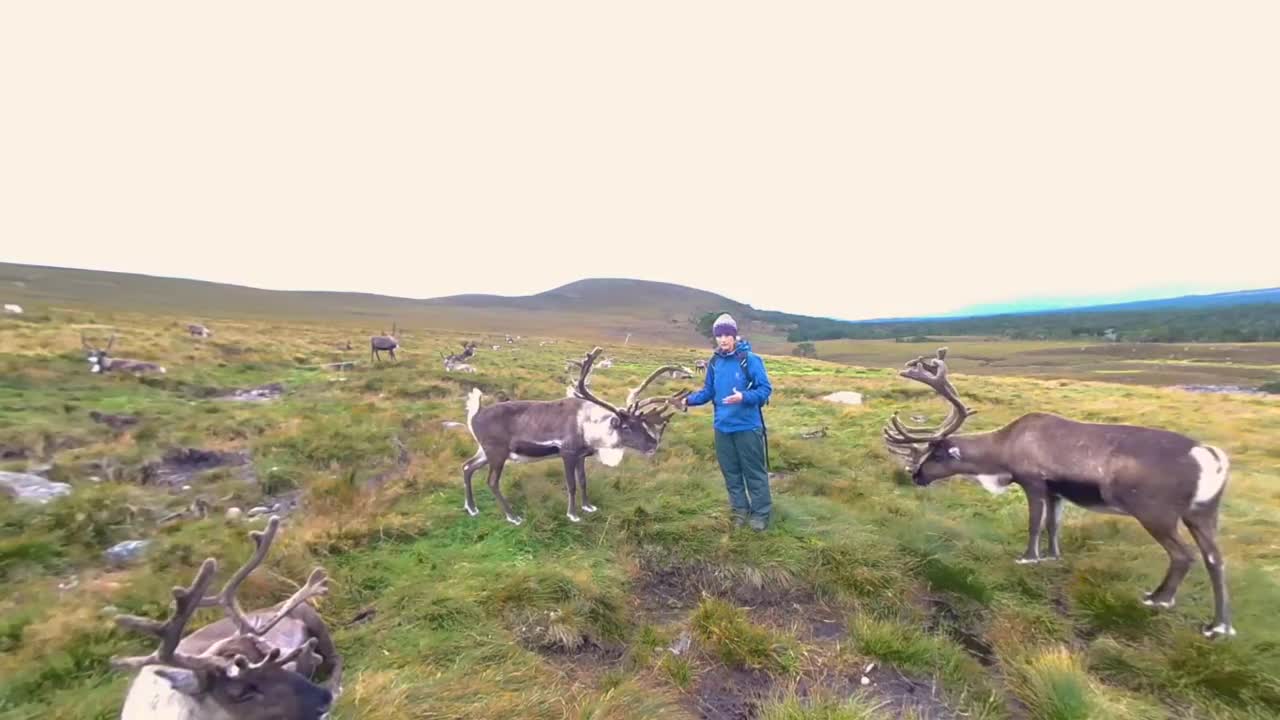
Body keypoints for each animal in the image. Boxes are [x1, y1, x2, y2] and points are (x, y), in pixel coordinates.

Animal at [460, 347, 691, 525]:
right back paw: (512, 516)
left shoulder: (581, 456)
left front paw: (588, 506)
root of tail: (475, 415)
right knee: (491, 481)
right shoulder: (568, 453)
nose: (653, 443)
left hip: (485, 451)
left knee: (467, 467)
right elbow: (571, 485)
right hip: (497, 453)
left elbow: (583, 481)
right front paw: (572, 514)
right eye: (626, 426)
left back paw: (472, 508)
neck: (590, 428)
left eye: (642, 423)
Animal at [881, 347, 1236, 639]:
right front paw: (1053, 556)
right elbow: (1053, 525)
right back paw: (1218, 626)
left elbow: (1034, 524)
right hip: (1203, 513)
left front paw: (1028, 557)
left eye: (937, 454)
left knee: (1184, 555)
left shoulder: (1034, 483)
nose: (915, 475)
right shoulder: (1057, 493)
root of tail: (1211, 457)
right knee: (1215, 559)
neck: (1004, 451)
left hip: (1157, 513)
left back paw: (1159, 599)